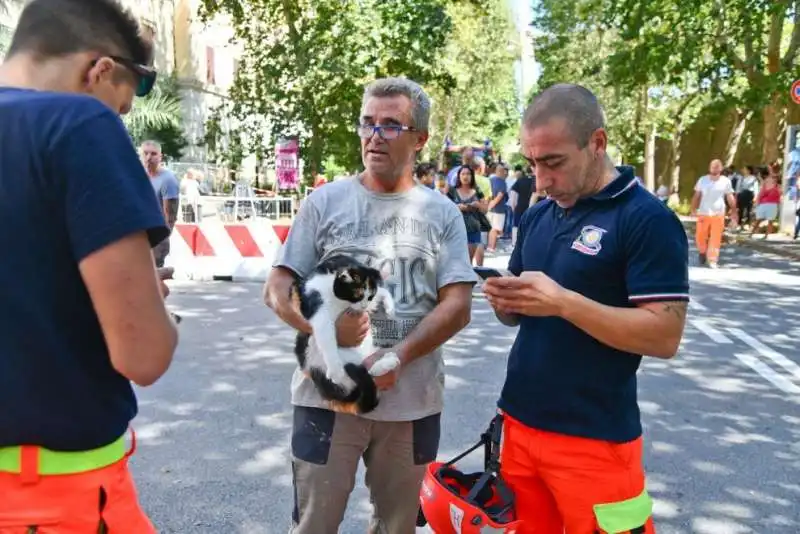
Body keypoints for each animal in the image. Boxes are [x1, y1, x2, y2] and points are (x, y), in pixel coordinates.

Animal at [290, 254, 400, 414]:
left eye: (370, 296)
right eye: (357, 295)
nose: (364, 306)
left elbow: (383, 291)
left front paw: (390, 309)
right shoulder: (318, 309)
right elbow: (327, 337)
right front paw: (335, 370)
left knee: (368, 370)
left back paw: (388, 360)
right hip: (318, 358)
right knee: (361, 374)